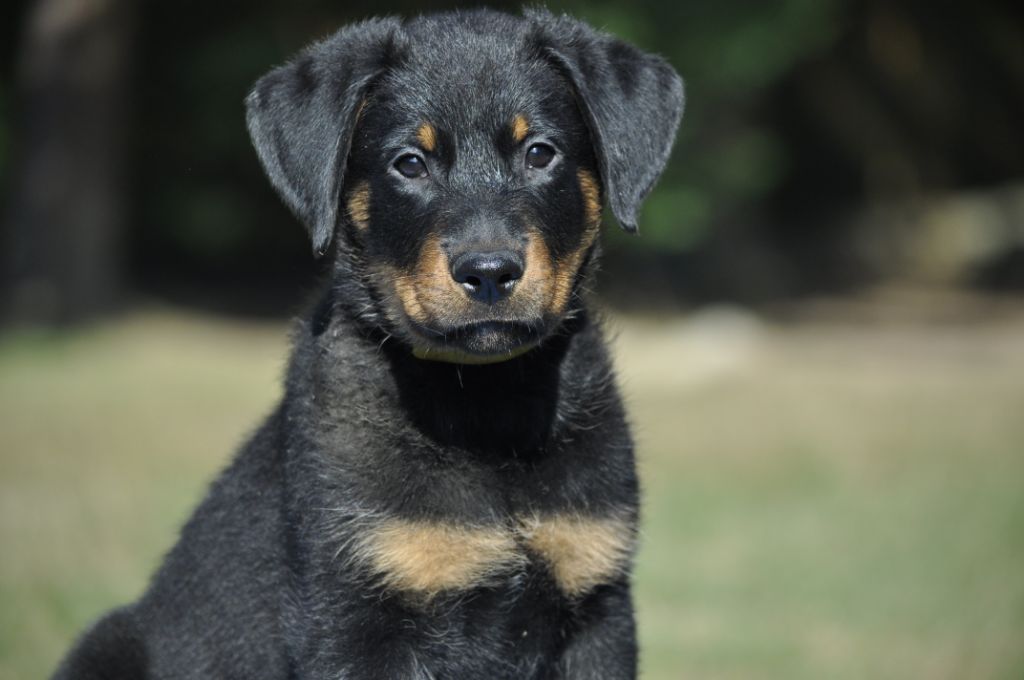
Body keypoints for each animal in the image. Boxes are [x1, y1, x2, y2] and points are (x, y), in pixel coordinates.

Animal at [54, 6, 679, 680]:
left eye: (541, 153)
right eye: (409, 163)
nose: (489, 271)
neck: (482, 403)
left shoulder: (595, 600)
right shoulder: (354, 614)